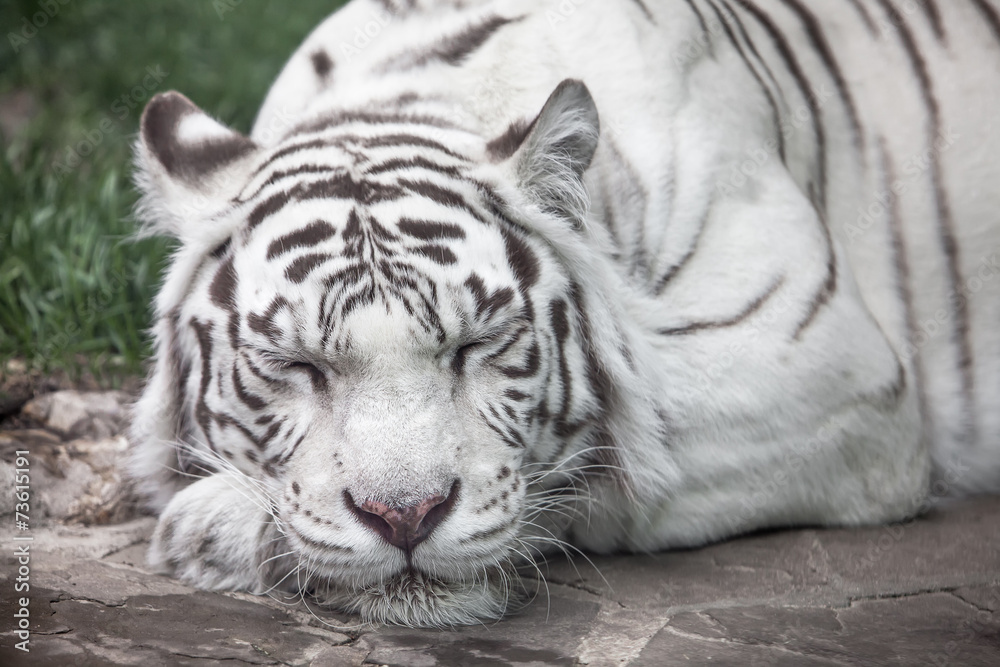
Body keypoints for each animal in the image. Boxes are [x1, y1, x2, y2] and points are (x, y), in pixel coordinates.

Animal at [128, 0, 1000, 627]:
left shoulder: (823, 360)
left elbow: (625, 457)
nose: (405, 517)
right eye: (296, 365)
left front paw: (206, 526)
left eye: (476, 344)